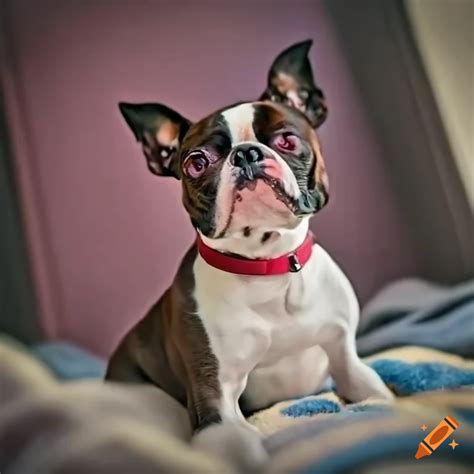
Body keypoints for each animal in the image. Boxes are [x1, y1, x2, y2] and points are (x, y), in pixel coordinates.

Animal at [107, 39, 392, 462]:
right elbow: (242, 445)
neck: (269, 267)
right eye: (196, 163)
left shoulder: (348, 360)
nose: (245, 153)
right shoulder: (216, 401)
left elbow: (376, 395)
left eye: (287, 141)